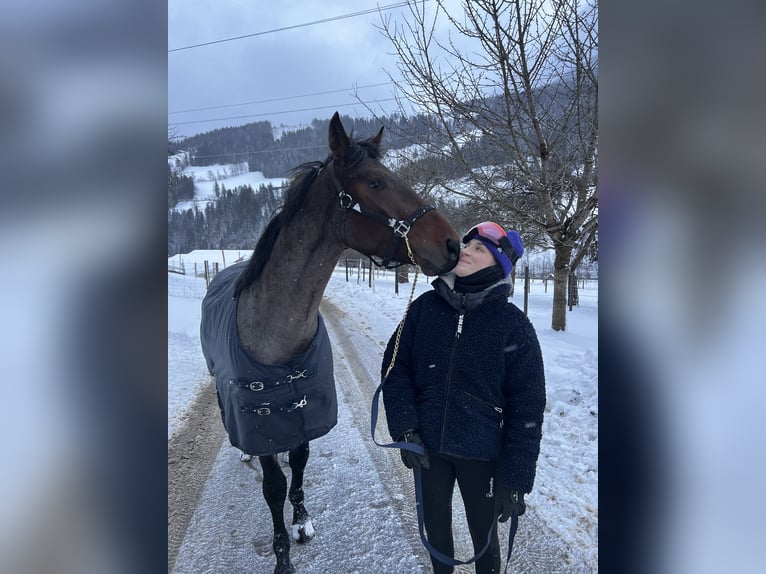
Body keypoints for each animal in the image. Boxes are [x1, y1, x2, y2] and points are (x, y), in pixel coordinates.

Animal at [200, 111, 460, 573]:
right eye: (375, 182)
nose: (453, 244)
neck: (279, 336)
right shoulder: (264, 427)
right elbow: (273, 487)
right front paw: (283, 555)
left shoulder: (306, 412)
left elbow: (299, 465)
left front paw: (302, 521)